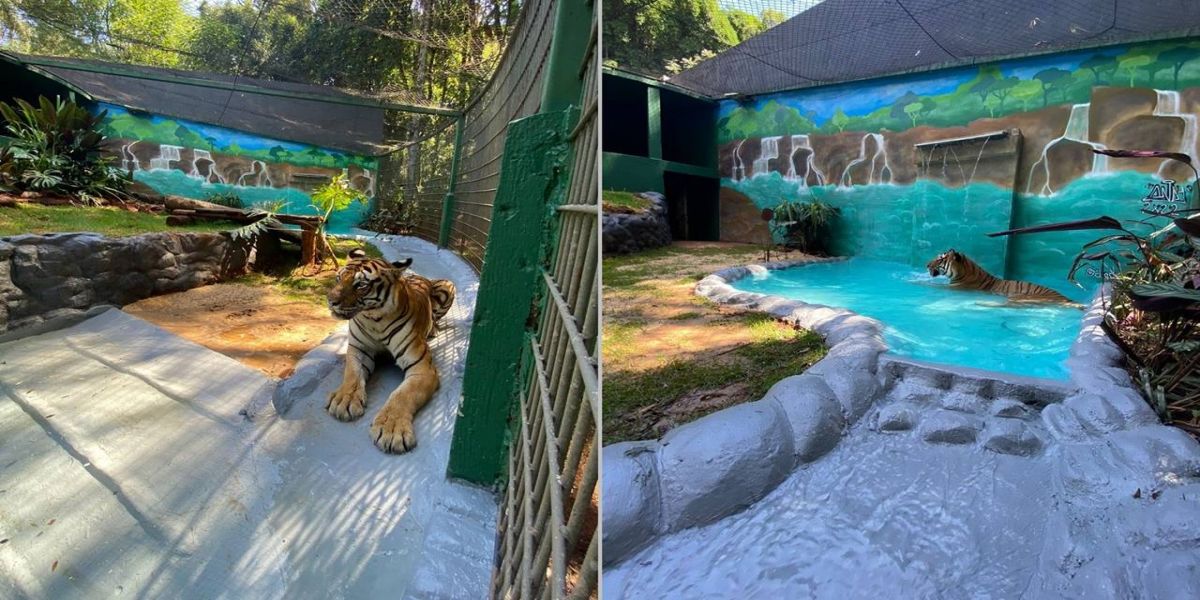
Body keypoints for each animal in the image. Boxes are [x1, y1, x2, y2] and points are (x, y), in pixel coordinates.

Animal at [325, 248, 456, 453]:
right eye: (338, 278)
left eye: (361, 285)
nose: (331, 301)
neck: (374, 319)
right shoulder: (358, 349)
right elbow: (352, 375)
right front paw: (344, 400)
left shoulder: (421, 368)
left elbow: (402, 395)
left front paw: (391, 429)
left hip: (447, 285)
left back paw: (433, 329)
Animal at [926, 249, 1080, 306]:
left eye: (940, 259)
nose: (926, 265)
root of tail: (1066, 298)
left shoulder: (955, 288)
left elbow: (928, 284)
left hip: (1020, 298)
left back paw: (981, 303)